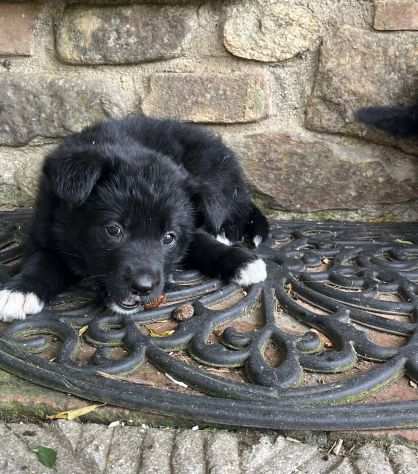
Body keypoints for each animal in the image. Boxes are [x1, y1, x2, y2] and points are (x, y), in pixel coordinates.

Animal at [0, 116, 268, 320]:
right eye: (114, 230)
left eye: (169, 237)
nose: (143, 287)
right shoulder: (46, 229)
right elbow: (42, 261)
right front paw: (20, 291)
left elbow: (201, 241)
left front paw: (241, 261)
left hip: (216, 176)